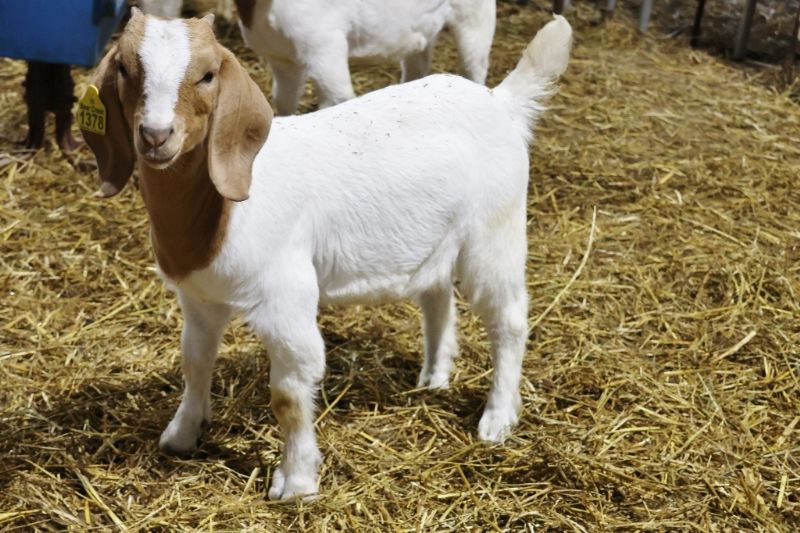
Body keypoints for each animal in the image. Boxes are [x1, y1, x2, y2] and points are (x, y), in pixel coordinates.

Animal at [233, 0, 497, 115]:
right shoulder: (282, 59)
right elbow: (283, 102)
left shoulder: (325, 45)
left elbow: (336, 100)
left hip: (474, 17)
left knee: (474, 67)